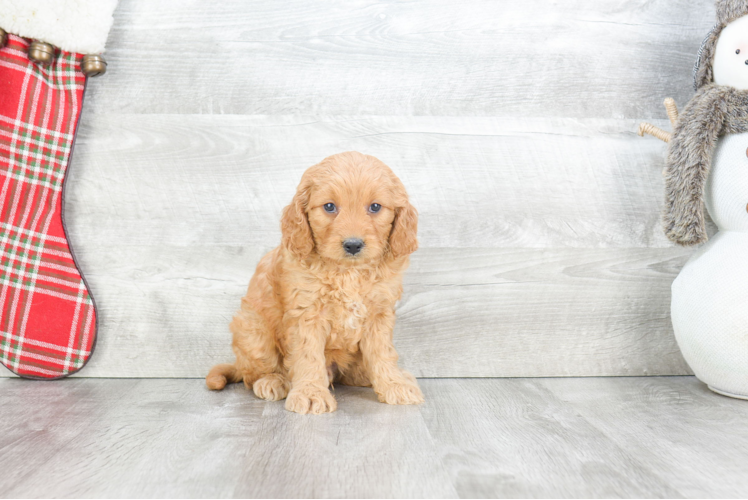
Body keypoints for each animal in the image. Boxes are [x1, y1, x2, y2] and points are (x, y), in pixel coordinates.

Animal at [207, 151, 424, 414]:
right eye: (329, 206)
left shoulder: (379, 314)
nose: (353, 245)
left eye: (375, 207)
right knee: (254, 373)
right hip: (253, 331)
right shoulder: (306, 314)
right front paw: (310, 393)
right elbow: (308, 356)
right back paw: (272, 381)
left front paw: (394, 384)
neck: (348, 272)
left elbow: (383, 353)